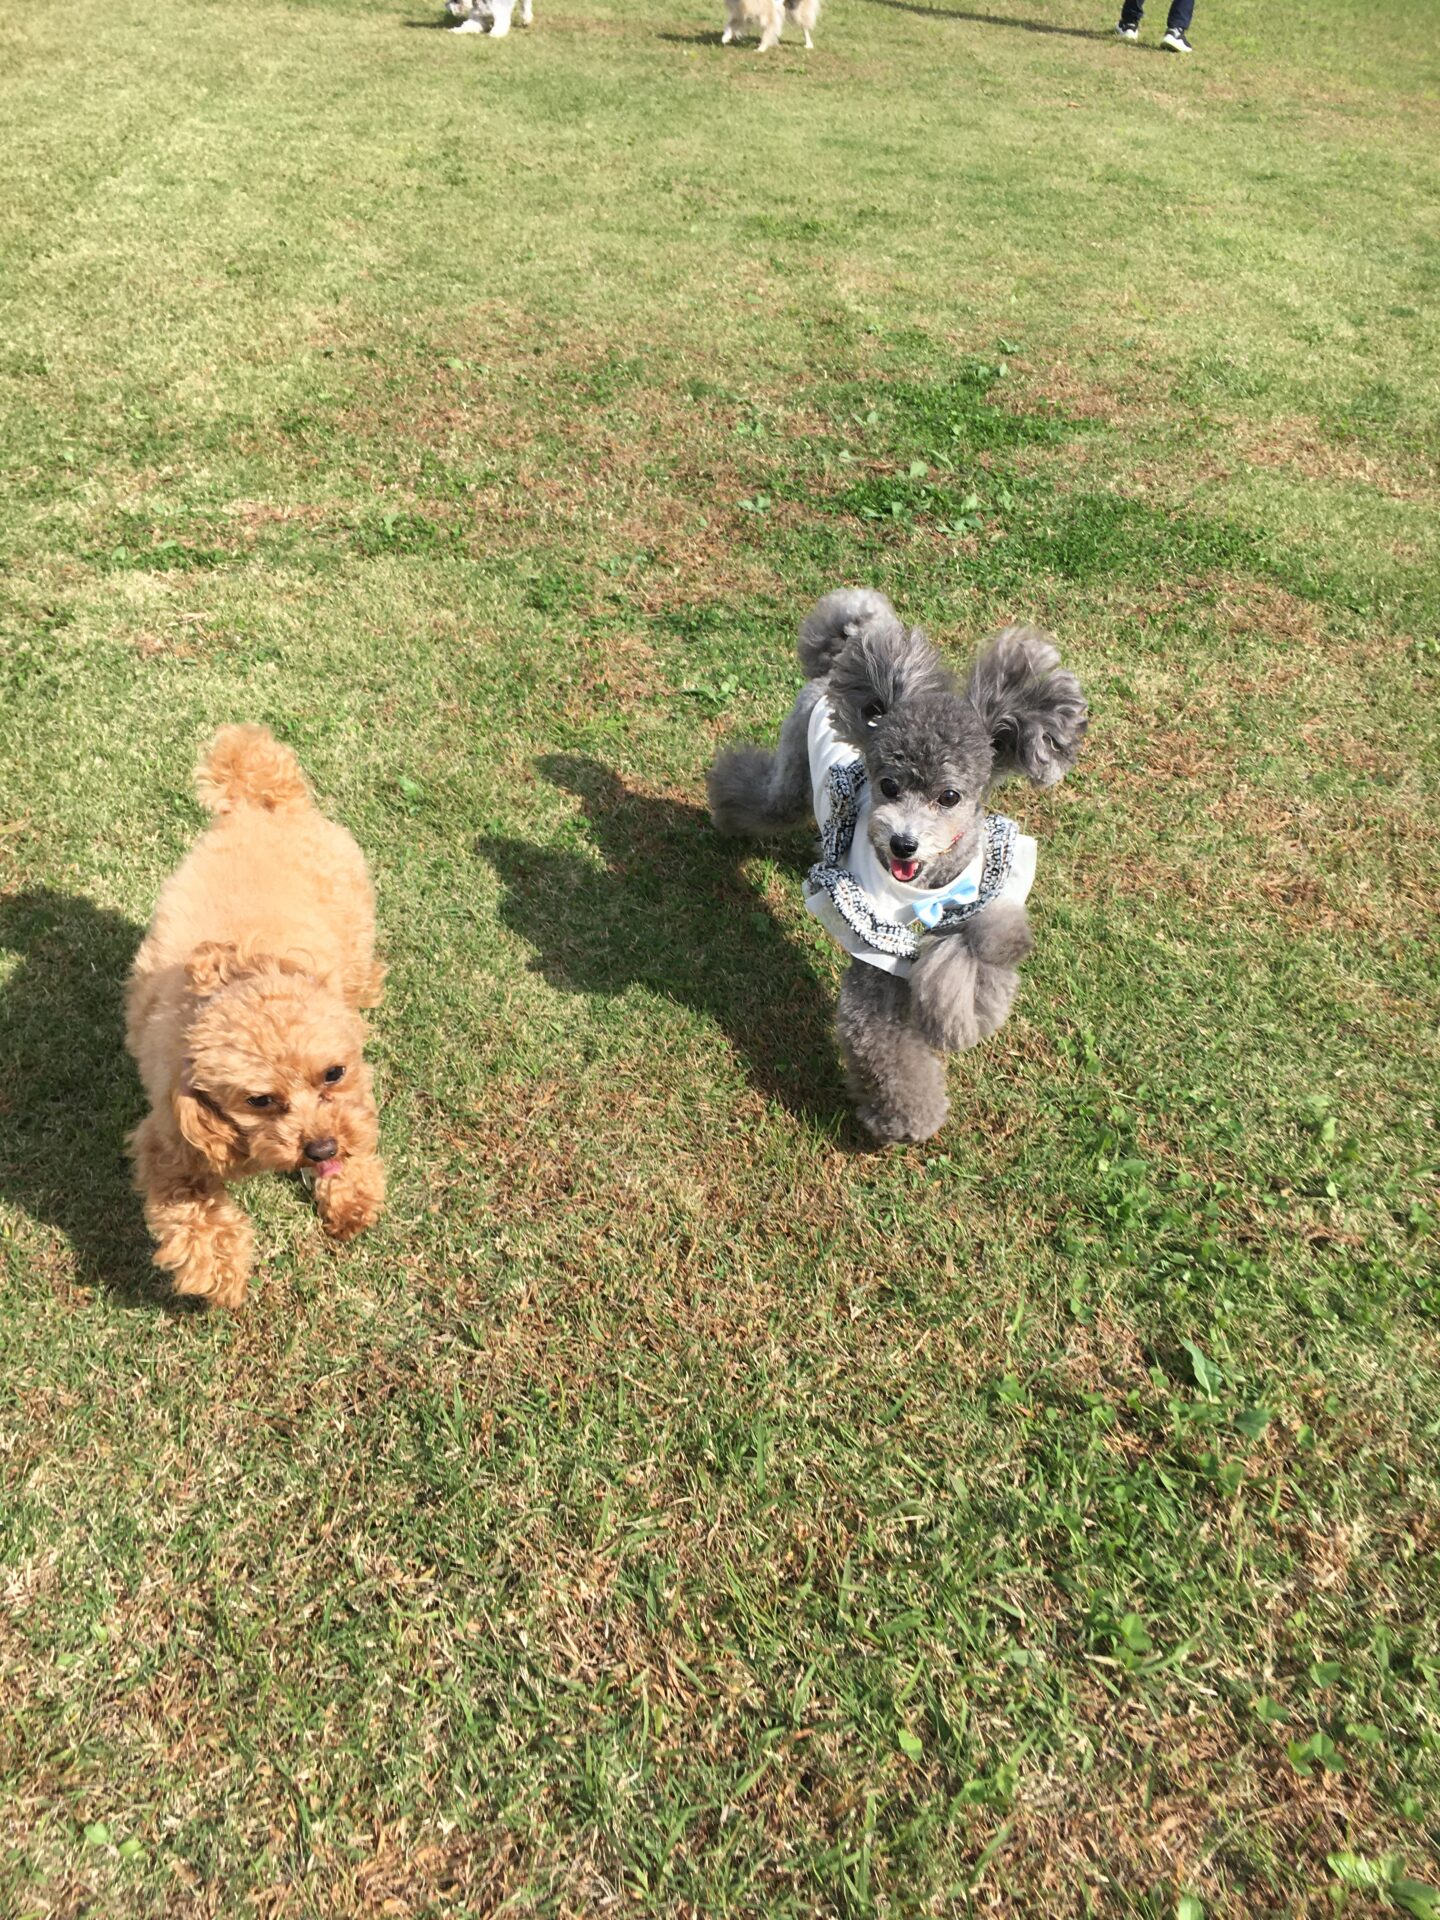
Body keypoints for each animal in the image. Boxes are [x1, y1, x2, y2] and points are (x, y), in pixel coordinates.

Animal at [125, 726, 386, 1307]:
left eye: (332, 1073)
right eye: (260, 1100)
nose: (320, 1148)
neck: (237, 973)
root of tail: (263, 804)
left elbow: (357, 1118)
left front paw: (351, 1195)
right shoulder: (169, 1136)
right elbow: (191, 1207)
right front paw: (217, 1271)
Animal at [708, 591, 1087, 1143]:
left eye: (949, 796)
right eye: (887, 785)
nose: (903, 844)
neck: (925, 887)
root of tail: (837, 664)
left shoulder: (979, 886)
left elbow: (985, 944)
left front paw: (968, 1008)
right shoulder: (874, 939)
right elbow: (883, 1035)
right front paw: (907, 1118)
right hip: (793, 774)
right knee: (760, 792)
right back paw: (723, 811)